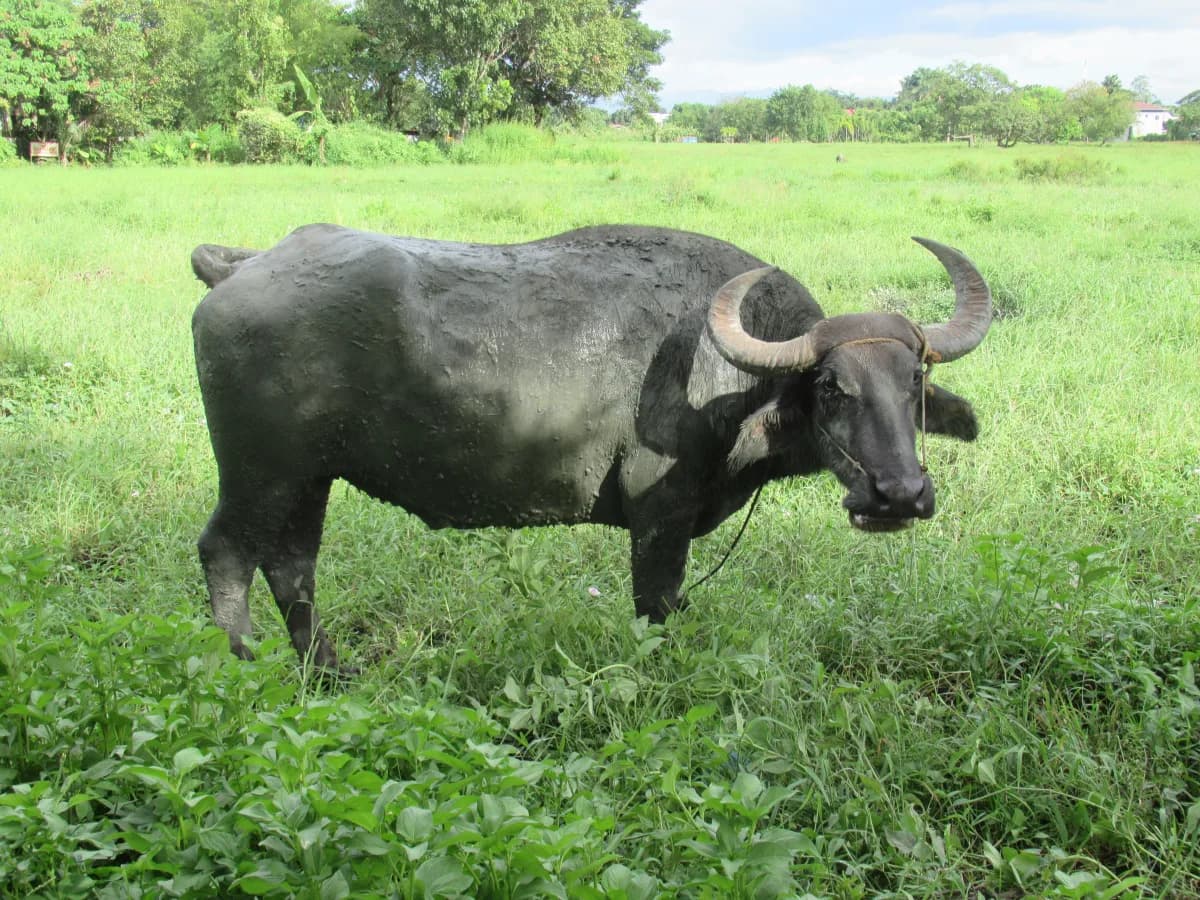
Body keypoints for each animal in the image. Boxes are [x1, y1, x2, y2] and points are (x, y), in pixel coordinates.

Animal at [191, 225, 990, 671]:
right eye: (830, 386)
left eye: (914, 380)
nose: (898, 495)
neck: (728, 379)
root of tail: (244, 267)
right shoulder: (659, 519)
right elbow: (656, 607)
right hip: (261, 474)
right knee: (226, 553)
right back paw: (245, 663)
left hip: (308, 478)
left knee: (292, 565)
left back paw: (327, 673)